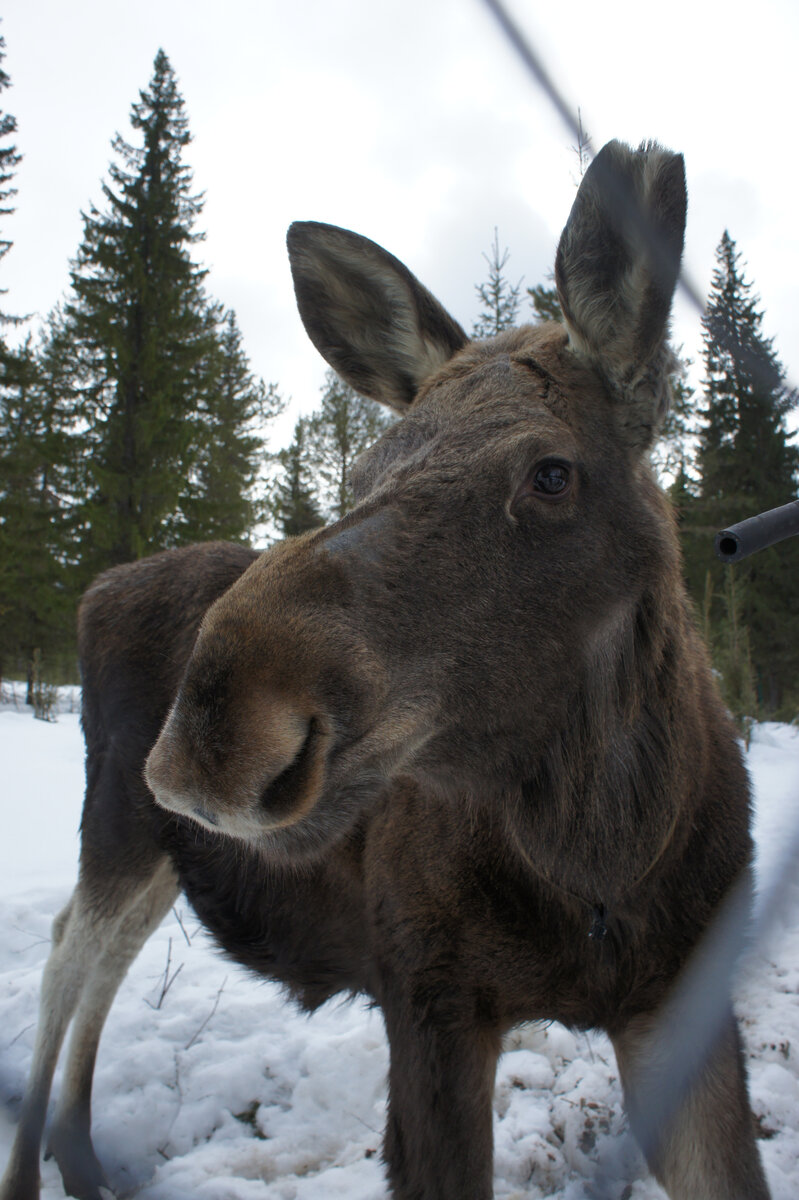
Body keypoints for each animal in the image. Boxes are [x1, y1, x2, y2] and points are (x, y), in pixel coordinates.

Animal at [3, 142, 767, 1200]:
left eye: (551, 473)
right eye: (362, 474)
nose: (213, 730)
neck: (600, 862)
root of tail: (95, 590)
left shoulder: (681, 996)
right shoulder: (428, 994)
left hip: (161, 842)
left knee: (105, 954)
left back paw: (81, 1159)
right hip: (118, 816)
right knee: (68, 953)